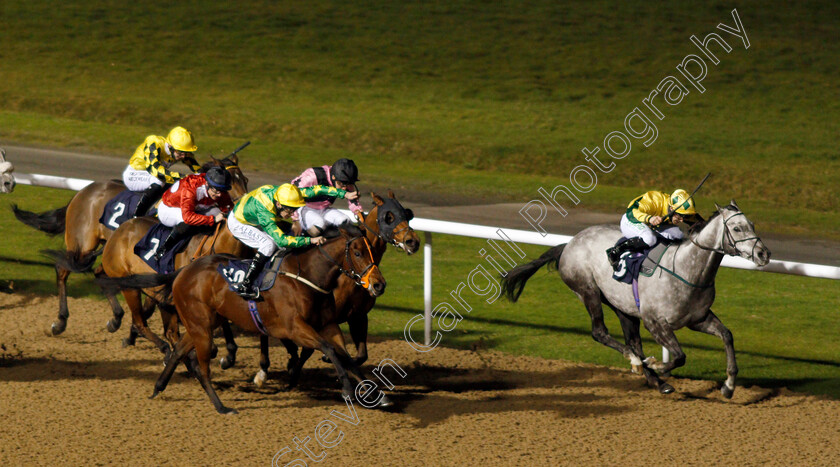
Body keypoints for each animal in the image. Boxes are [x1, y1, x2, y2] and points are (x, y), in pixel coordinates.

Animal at [99, 157, 249, 358]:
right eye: (231, 182)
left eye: (245, 180)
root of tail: (119, 230)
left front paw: (230, 352)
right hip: (128, 284)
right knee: (139, 320)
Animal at [251, 190, 418, 388]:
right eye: (389, 216)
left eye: (407, 214)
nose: (413, 241)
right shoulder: (319, 318)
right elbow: (309, 349)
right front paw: (294, 372)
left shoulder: (358, 315)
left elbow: (360, 355)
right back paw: (262, 371)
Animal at [502, 201, 772, 398]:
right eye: (737, 228)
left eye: (752, 224)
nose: (763, 253)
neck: (687, 270)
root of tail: (569, 243)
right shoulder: (656, 322)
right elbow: (679, 356)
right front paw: (656, 364)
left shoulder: (698, 318)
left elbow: (727, 335)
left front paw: (728, 386)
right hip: (588, 291)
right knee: (600, 333)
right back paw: (638, 362)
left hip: (623, 307)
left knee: (632, 341)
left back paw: (656, 380)